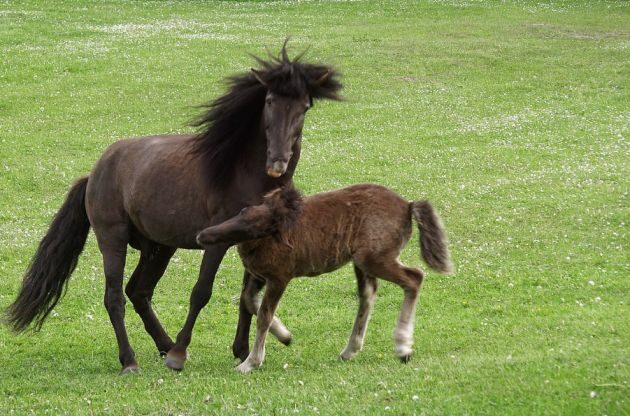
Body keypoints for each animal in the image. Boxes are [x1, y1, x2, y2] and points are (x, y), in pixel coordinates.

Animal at [4, 45, 344, 374]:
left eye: (305, 107)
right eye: (270, 101)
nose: (278, 162)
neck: (243, 171)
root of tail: (95, 172)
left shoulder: (256, 242)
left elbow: (248, 298)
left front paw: (243, 351)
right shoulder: (216, 242)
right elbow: (201, 292)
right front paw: (180, 355)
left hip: (158, 247)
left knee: (138, 291)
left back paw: (163, 344)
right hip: (112, 239)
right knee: (114, 297)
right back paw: (131, 361)